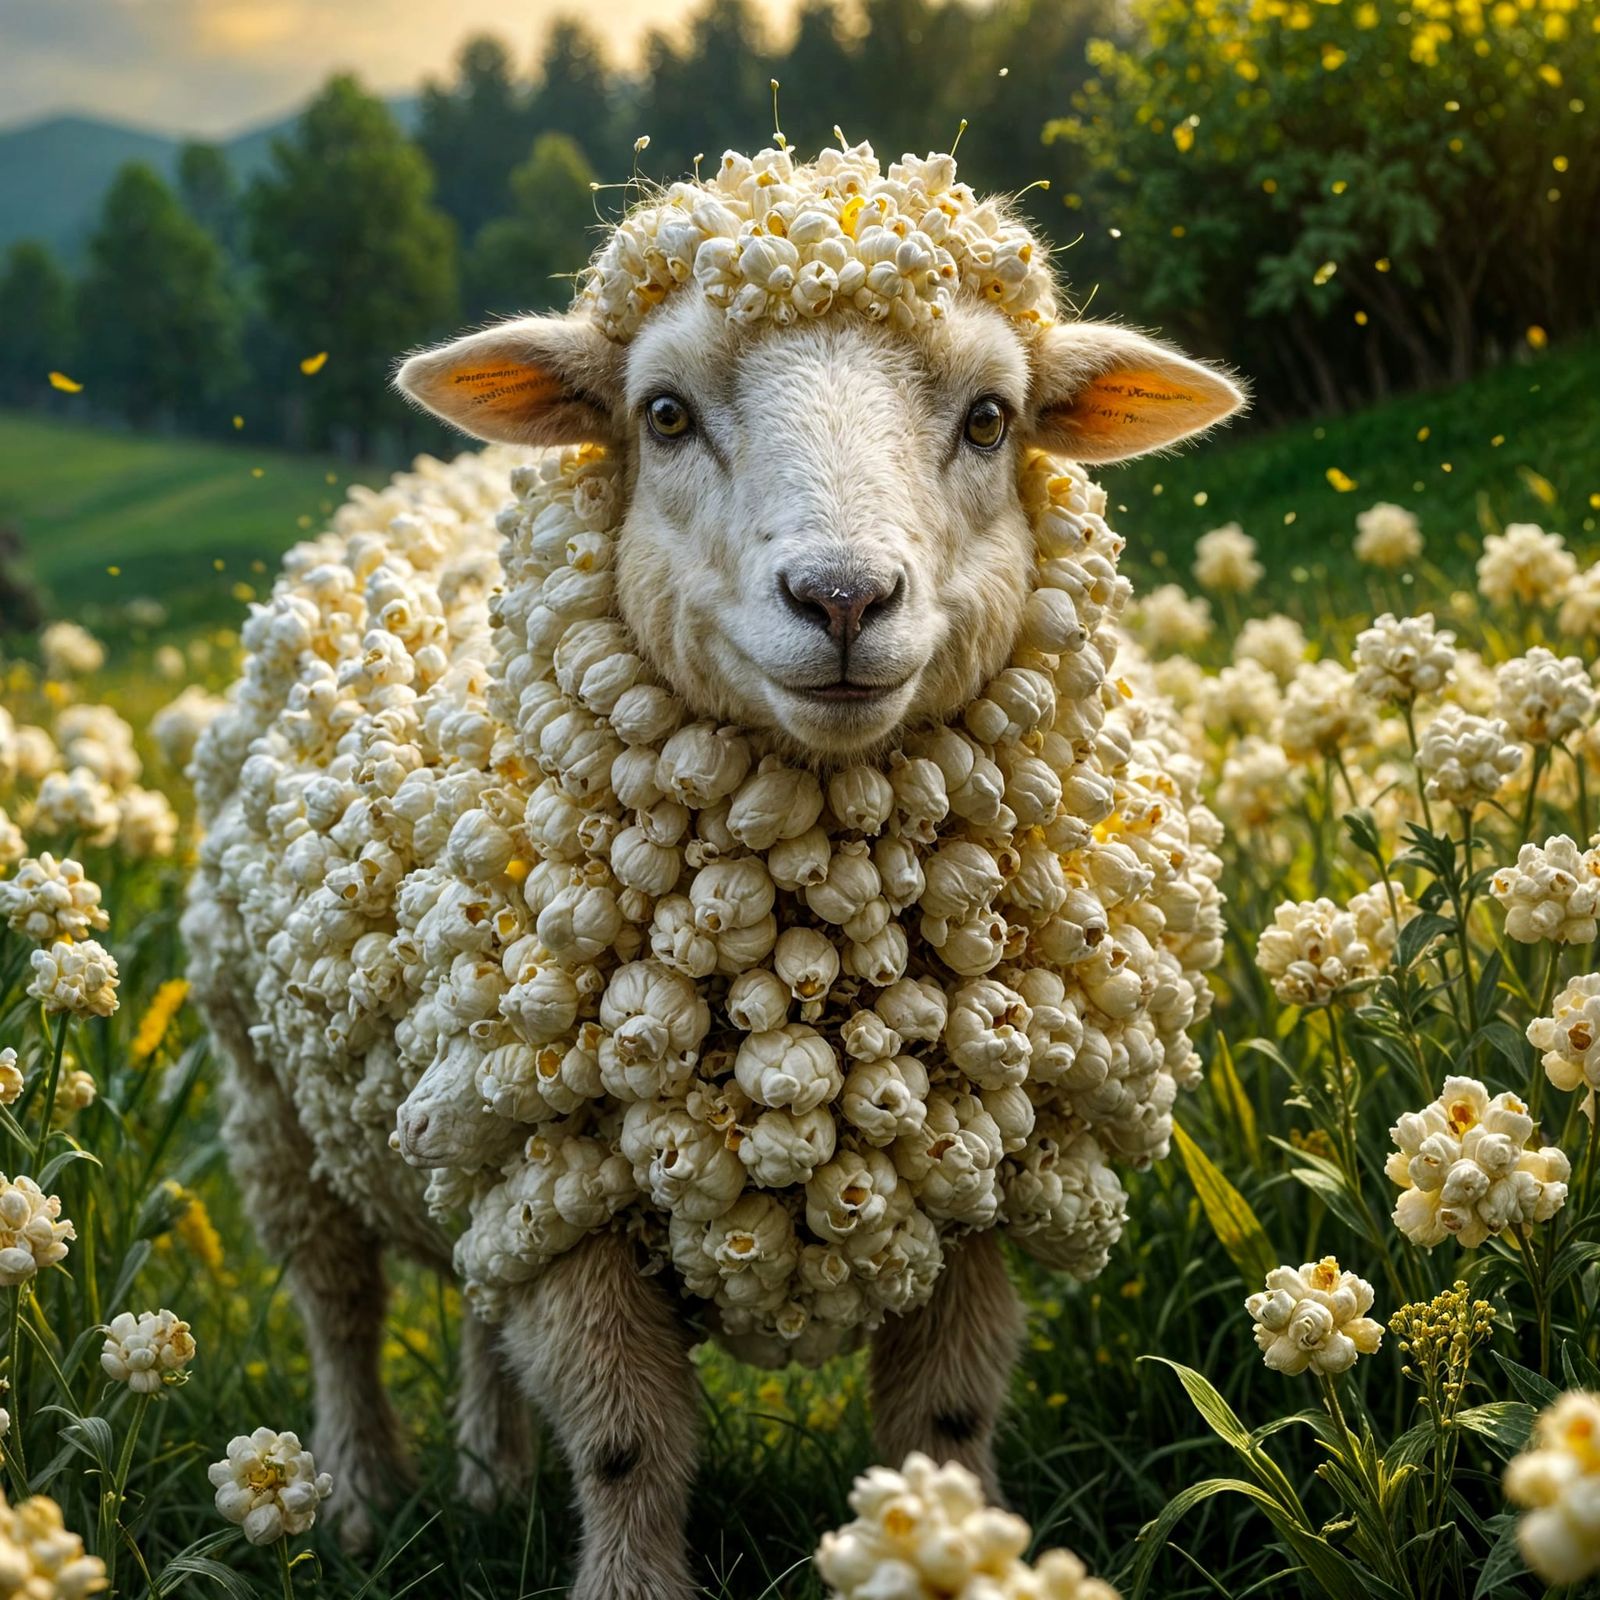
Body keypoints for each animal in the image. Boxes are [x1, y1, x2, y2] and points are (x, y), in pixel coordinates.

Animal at [184, 139, 1242, 1599]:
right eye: (666, 413)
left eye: (990, 418)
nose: (844, 599)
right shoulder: (576, 1215)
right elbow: (630, 1447)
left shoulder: (975, 1191)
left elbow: (945, 1416)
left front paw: (962, 1542)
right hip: (283, 1103)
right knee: (338, 1306)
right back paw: (352, 1497)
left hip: (469, 1136)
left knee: (474, 1302)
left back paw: (489, 1482)